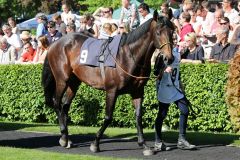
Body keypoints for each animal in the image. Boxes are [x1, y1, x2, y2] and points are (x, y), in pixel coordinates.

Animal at [42, 10, 174, 155]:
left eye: (172, 31)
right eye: (158, 32)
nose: (169, 58)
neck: (128, 56)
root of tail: (55, 44)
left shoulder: (138, 91)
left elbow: (138, 116)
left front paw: (144, 145)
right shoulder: (112, 90)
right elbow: (108, 117)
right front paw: (95, 143)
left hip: (74, 82)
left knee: (65, 106)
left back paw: (66, 137)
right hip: (62, 80)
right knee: (57, 102)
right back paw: (64, 137)